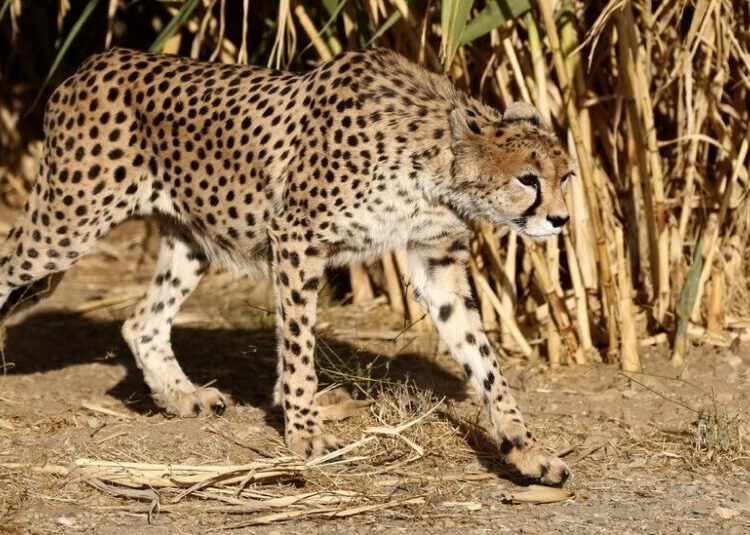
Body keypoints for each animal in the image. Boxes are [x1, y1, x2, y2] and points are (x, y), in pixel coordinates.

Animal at [0, 47, 574, 485]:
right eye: (528, 179)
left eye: (565, 175)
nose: (562, 220)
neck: (432, 166)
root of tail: (96, 60)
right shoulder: (296, 240)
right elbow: (299, 347)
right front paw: (304, 431)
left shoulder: (437, 261)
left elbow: (483, 359)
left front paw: (526, 449)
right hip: (66, 223)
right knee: (10, 266)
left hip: (193, 238)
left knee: (142, 322)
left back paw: (183, 397)